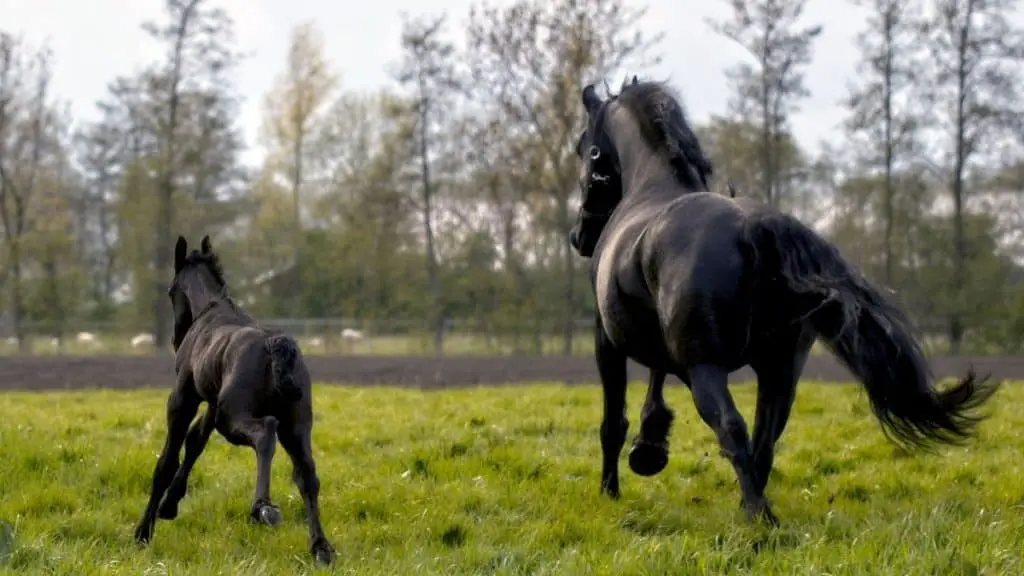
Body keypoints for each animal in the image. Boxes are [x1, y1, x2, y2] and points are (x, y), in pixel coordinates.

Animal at [133, 233, 335, 561]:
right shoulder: (213, 403)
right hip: (296, 425)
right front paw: (169, 505)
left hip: (233, 419)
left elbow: (167, 460)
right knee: (307, 475)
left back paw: (263, 507)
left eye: (170, 290)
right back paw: (320, 547)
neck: (211, 309)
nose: (176, 339)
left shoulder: (184, 398)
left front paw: (143, 532)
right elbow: (195, 442)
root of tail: (278, 346)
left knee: (266, 433)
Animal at [569, 77, 999, 524]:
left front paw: (613, 486)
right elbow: (655, 385)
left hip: (708, 369)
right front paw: (650, 448)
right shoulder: (664, 346)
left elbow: (613, 422)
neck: (650, 188)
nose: (578, 237)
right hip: (780, 373)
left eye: (584, 148)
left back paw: (759, 517)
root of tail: (755, 227)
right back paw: (755, 510)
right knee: (764, 443)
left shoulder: (609, 341)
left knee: (733, 428)